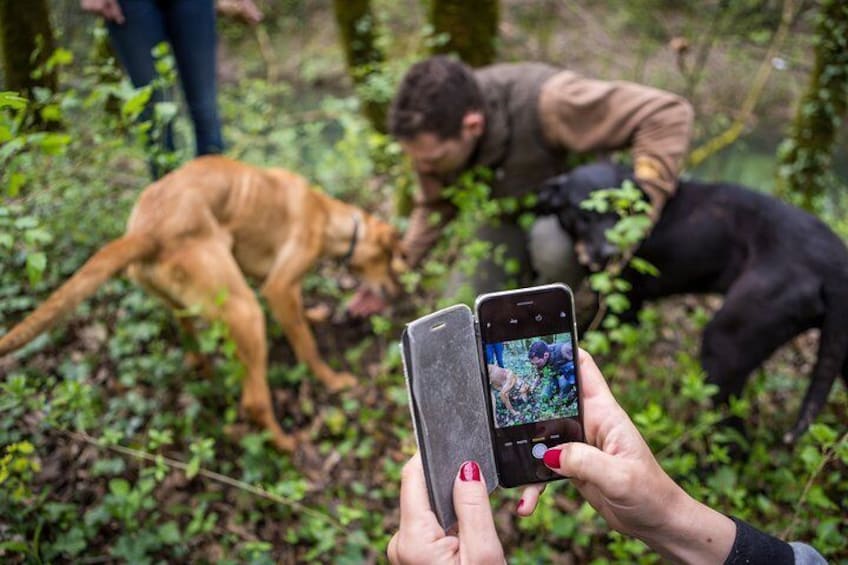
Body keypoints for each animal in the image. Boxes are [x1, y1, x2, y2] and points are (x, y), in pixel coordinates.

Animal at [0, 156, 404, 452]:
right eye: (388, 259)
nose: (394, 291)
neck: (327, 215)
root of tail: (147, 231)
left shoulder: (276, 284)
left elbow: (300, 316)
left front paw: (314, 315)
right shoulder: (276, 288)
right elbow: (306, 346)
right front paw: (332, 380)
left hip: (187, 305)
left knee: (194, 346)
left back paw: (206, 370)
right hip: (246, 311)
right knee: (254, 401)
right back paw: (288, 444)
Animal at [536, 163, 848, 446]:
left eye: (620, 212)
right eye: (583, 214)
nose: (612, 252)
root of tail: (835, 262)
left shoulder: (625, 303)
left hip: (726, 345)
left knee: (733, 432)